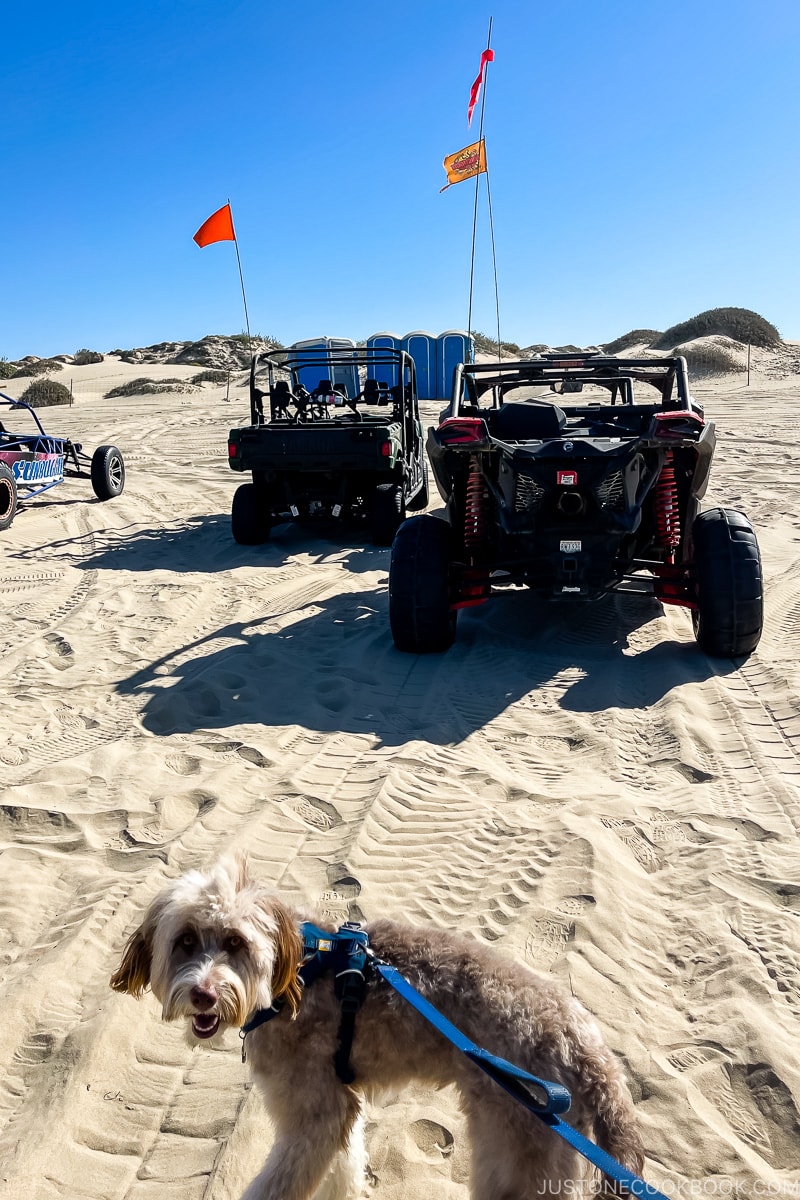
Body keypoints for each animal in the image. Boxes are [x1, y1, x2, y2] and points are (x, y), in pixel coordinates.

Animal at [110, 854, 642, 1200]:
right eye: (184, 941)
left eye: (236, 943)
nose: (203, 993)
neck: (291, 979)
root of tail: (589, 1049)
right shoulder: (338, 1109)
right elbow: (343, 1166)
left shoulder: (312, 1114)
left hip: (515, 1162)